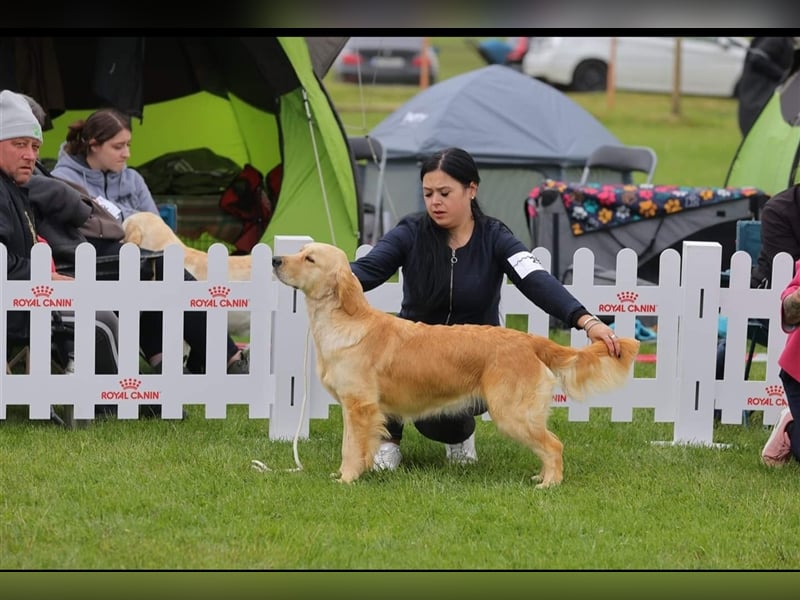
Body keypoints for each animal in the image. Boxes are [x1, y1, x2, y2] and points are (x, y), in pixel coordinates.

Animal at [272, 241, 640, 490]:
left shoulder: (360, 405)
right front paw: (347, 472)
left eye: (309, 258)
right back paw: (541, 475)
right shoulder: (357, 408)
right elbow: (351, 444)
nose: (275, 259)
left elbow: (351, 447)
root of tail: (530, 340)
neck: (343, 320)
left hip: (511, 412)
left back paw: (549, 483)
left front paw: (347, 479)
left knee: (554, 445)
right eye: (300, 251)